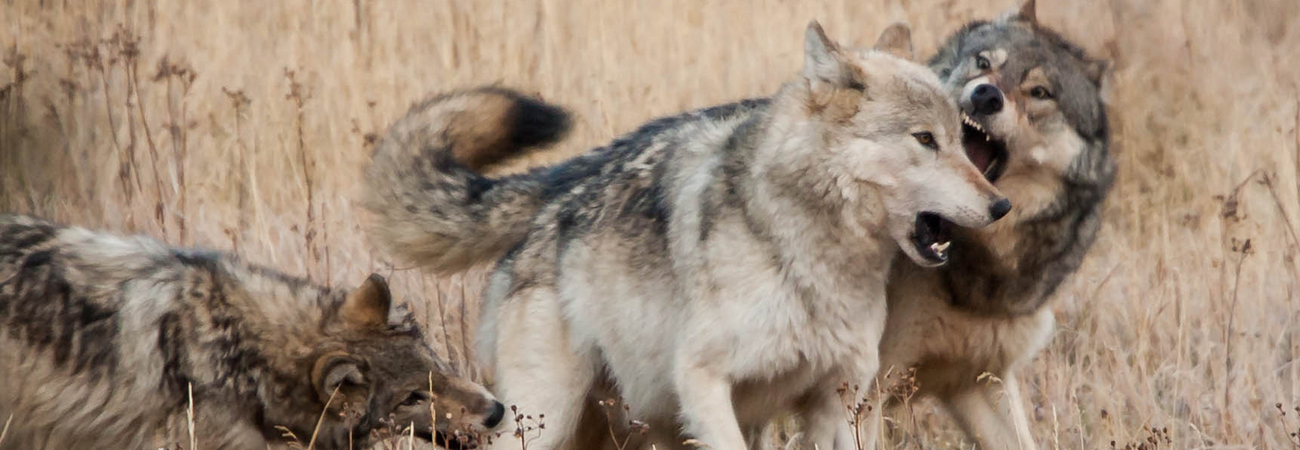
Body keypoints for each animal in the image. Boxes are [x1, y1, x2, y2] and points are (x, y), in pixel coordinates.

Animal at [361, 21, 1008, 450]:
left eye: (960, 140)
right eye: (925, 140)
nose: (1000, 205)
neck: (806, 255)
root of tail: (558, 188)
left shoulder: (837, 398)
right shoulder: (703, 384)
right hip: (546, 417)